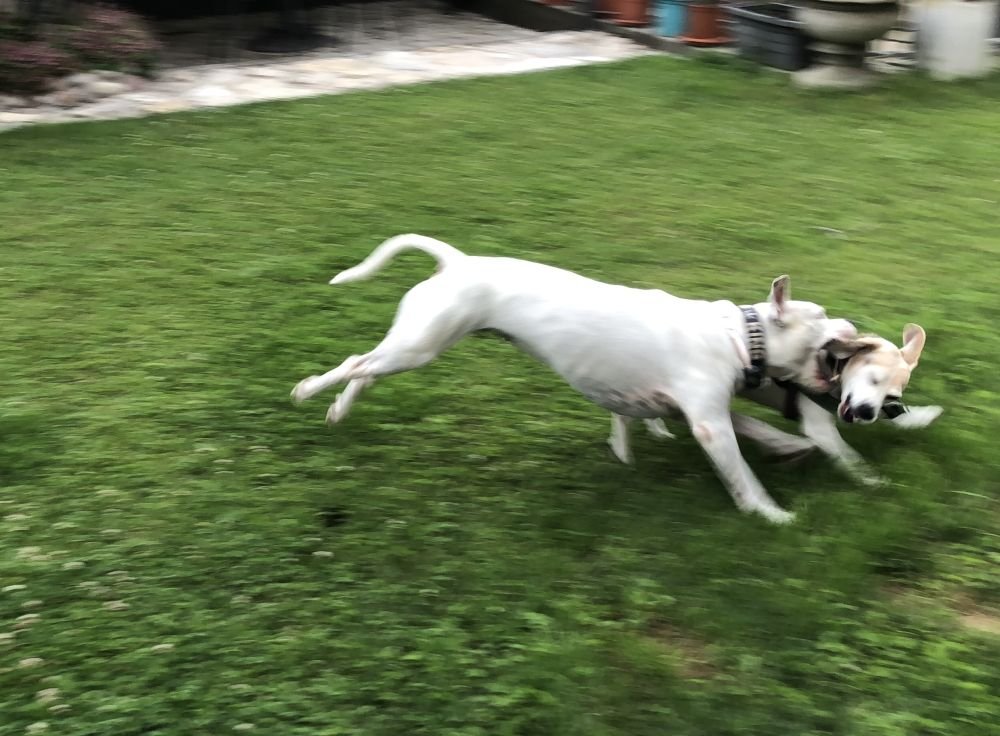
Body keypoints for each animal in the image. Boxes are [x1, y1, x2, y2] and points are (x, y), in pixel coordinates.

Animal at [291, 234, 858, 524]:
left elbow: (754, 429)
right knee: (356, 363)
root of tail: (457, 262)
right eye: (820, 315)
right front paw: (770, 513)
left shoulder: (695, 410)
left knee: (366, 369)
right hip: (418, 347)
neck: (740, 335)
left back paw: (338, 409)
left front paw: (789, 446)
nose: (852, 327)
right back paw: (311, 391)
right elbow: (741, 473)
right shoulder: (708, 423)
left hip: (412, 346)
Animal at [609, 325, 941, 485]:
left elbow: (899, 417)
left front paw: (922, 416)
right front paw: (875, 482)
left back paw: (657, 430)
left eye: (890, 396)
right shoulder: (820, 429)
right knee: (623, 414)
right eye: (873, 379)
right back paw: (624, 450)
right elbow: (850, 458)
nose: (865, 413)